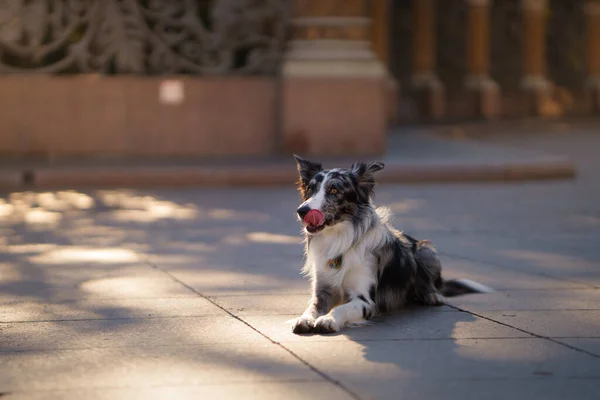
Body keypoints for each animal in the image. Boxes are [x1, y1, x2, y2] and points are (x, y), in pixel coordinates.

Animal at [292, 156, 492, 334]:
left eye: (334, 190)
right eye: (310, 189)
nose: (302, 211)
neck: (340, 237)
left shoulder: (365, 300)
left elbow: (341, 308)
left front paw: (328, 319)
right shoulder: (322, 292)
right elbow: (311, 307)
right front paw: (304, 319)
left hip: (426, 249)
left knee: (432, 284)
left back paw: (432, 295)